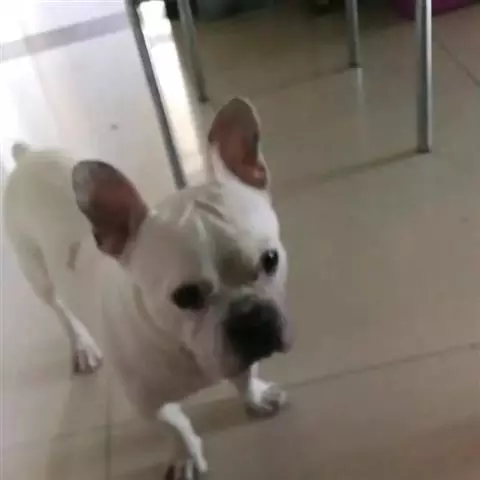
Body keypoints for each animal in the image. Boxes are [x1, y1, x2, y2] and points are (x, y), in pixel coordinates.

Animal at [3, 98, 292, 479]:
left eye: (271, 259)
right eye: (186, 296)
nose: (251, 318)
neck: (183, 348)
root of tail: (28, 157)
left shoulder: (239, 354)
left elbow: (245, 376)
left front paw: (255, 397)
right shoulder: (148, 404)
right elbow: (175, 425)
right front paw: (186, 455)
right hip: (35, 271)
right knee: (59, 309)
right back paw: (83, 345)